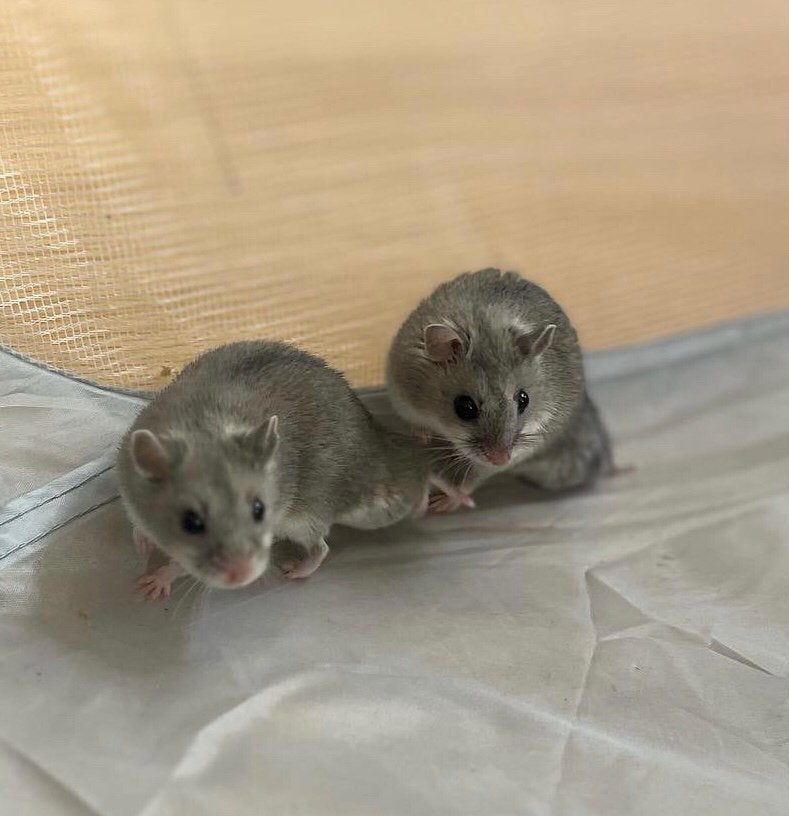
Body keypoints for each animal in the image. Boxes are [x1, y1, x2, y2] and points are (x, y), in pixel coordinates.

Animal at [117, 341, 466, 600]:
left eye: (259, 510)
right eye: (190, 522)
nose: (244, 576)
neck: (202, 428)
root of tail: (376, 446)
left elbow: (181, 566)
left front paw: (151, 583)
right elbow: (138, 526)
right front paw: (143, 544)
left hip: (312, 517)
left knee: (323, 546)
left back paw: (296, 570)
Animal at [386, 268, 613, 511]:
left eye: (524, 399)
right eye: (465, 407)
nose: (501, 459)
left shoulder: (517, 451)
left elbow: (473, 478)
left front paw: (442, 505)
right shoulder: (403, 398)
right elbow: (417, 424)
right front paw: (423, 438)